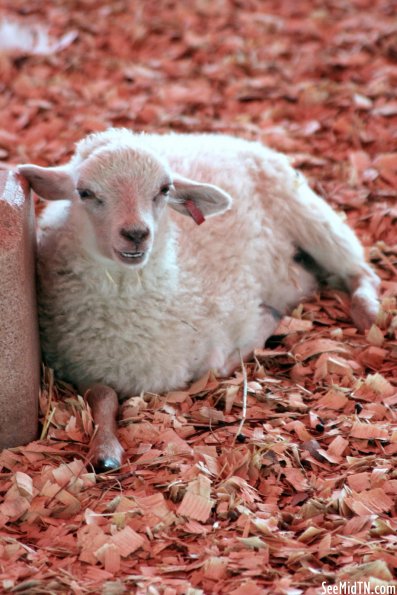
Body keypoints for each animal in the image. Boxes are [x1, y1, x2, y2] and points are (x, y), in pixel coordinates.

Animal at [17, 128, 378, 472]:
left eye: (164, 190)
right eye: (85, 192)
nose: (136, 234)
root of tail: (221, 138)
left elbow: (224, 360)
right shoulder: (82, 368)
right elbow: (103, 396)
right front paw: (105, 451)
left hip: (311, 216)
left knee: (360, 270)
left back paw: (368, 313)